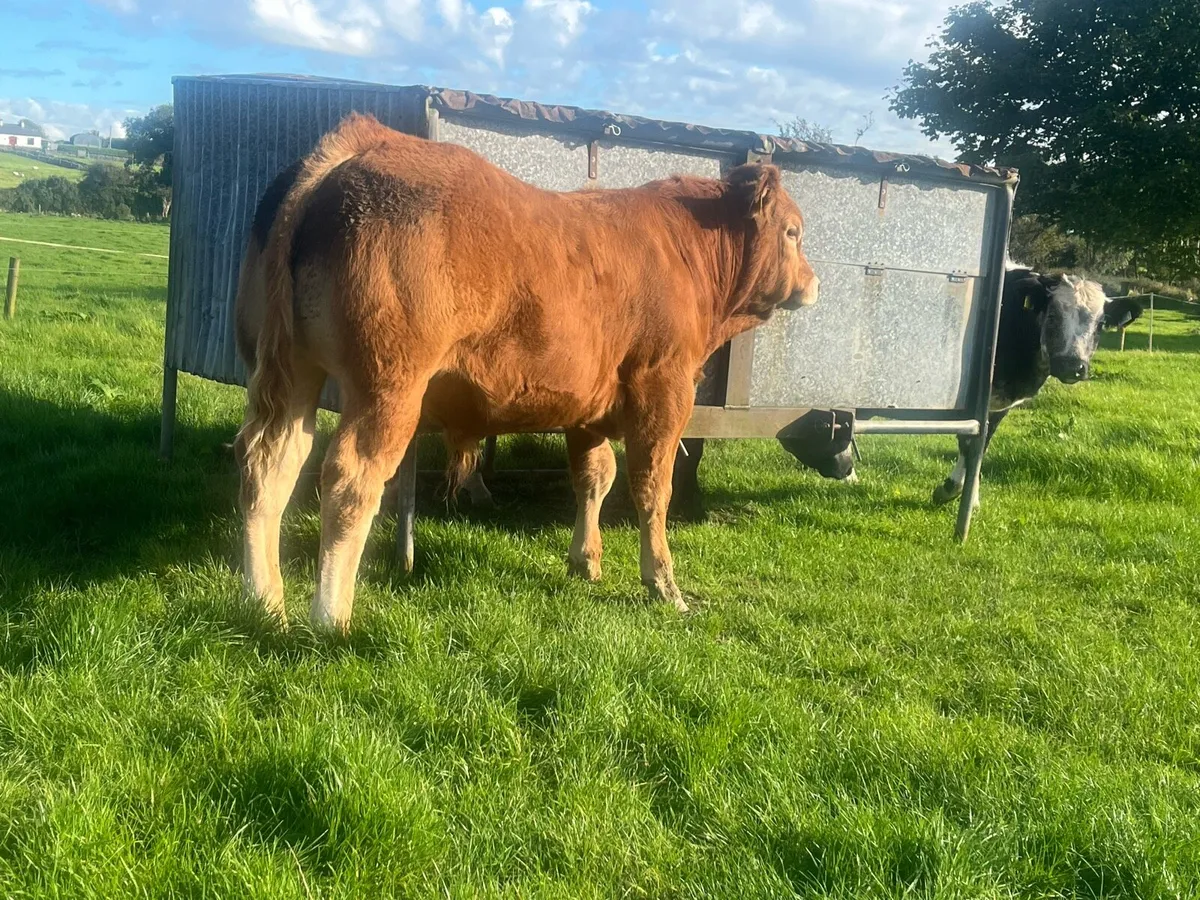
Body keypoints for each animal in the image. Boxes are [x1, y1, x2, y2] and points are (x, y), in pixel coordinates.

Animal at [233, 113, 819, 632]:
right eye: (793, 232)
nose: (813, 282)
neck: (684, 251)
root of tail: (362, 142)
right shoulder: (664, 386)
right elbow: (653, 487)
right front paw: (664, 586)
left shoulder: (587, 403)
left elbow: (594, 476)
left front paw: (586, 560)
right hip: (389, 382)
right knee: (351, 477)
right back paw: (330, 617)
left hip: (293, 372)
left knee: (271, 463)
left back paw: (265, 603)